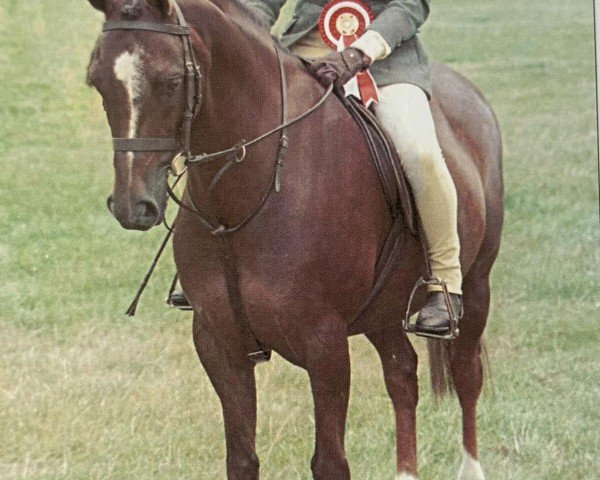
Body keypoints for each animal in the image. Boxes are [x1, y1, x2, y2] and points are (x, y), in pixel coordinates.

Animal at [85, 1, 502, 478]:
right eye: (96, 80)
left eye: (171, 81)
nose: (131, 206)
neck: (249, 196)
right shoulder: (217, 342)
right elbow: (241, 458)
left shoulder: (325, 346)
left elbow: (329, 462)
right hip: (382, 312)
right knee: (402, 375)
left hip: (476, 286)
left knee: (466, 375)